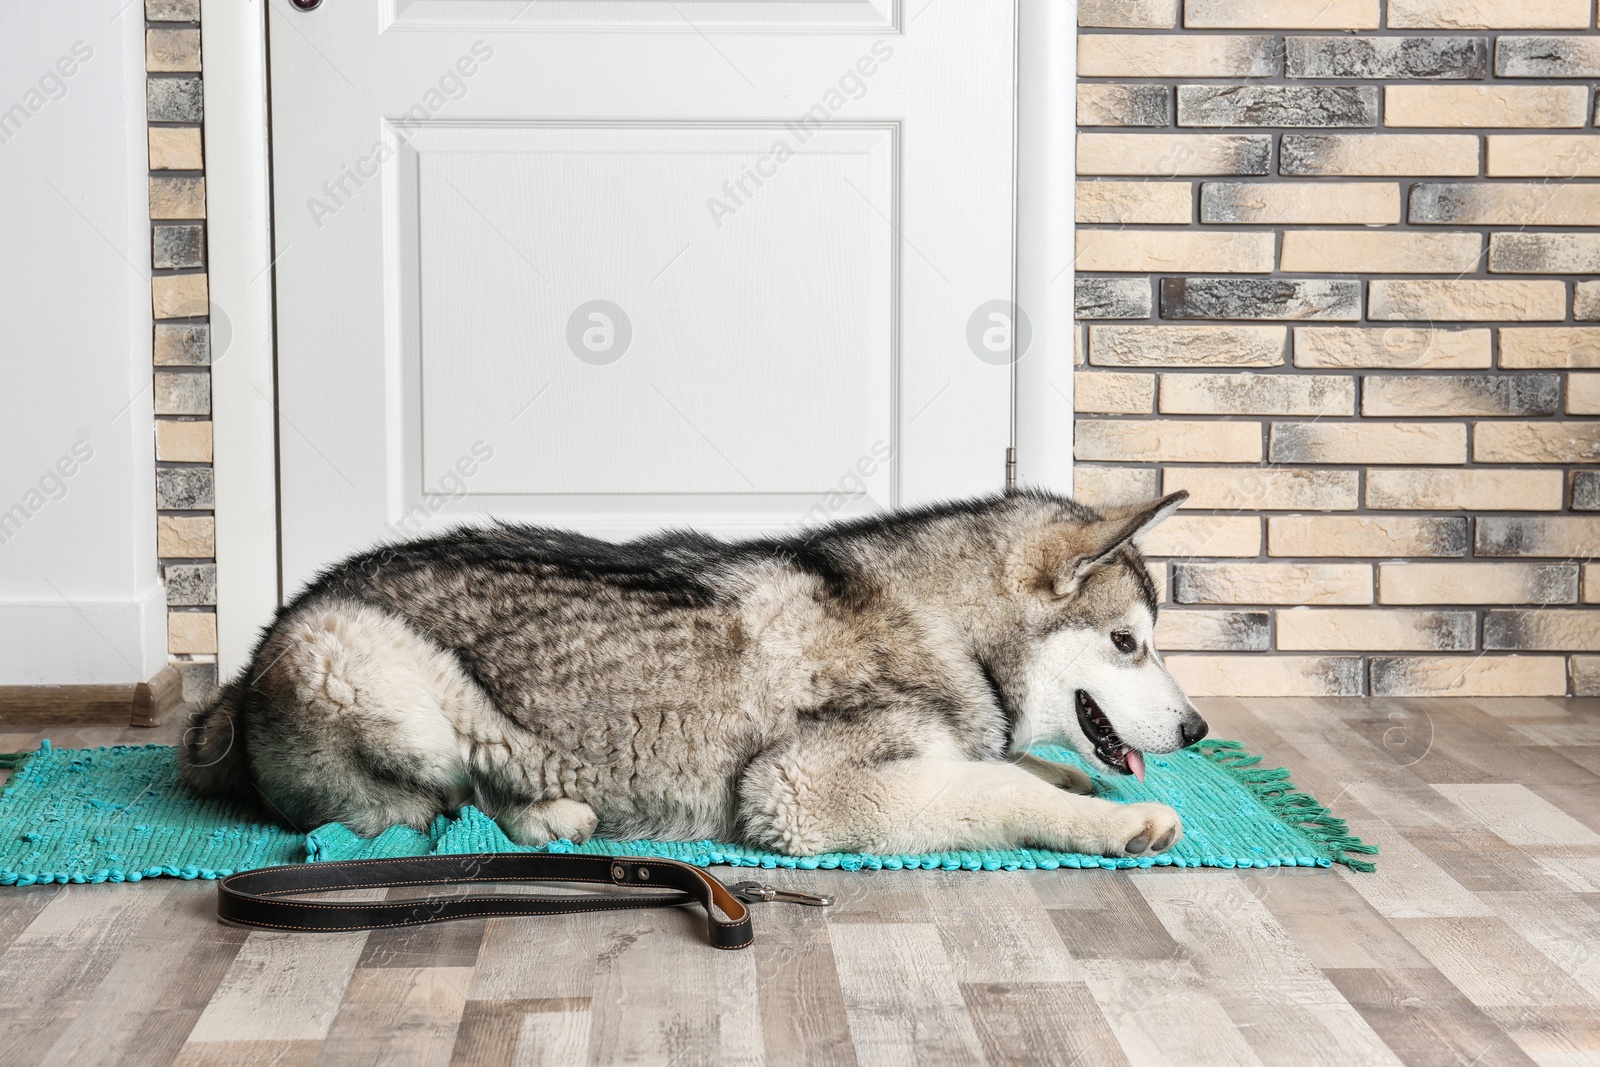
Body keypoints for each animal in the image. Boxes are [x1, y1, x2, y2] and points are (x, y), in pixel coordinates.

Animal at [181, 492, 1203, 857]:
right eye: (1129, 642)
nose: (1197, 731)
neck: (943, 624)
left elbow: (1009, 764)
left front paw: (1067, 776)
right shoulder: (797, 791)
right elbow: (999, 788)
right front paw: (1111, 819)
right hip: (378, 679)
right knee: (418, 807)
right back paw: (545, 815)